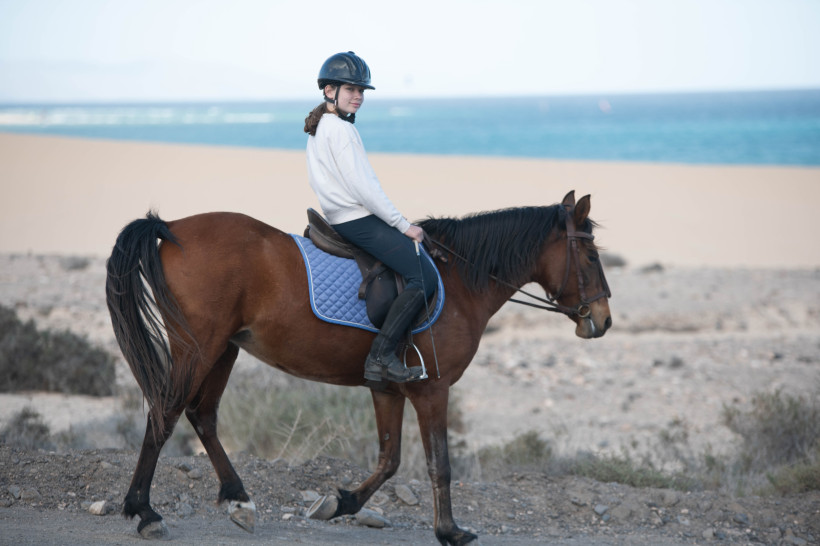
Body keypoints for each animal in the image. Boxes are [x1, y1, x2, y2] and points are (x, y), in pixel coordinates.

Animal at [105, 190, 612, 545]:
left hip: (222, 350)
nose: (603, 320)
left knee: (202, 416)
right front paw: (449, 531)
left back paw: (238, 500)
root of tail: (171, 227)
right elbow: (439, 463)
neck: (459, 281)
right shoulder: (433, 389)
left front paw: (340, 502)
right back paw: (145, 512)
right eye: (591, 256)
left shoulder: (387, 387)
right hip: (199, 347)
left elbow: (390, 459)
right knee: (165, 412)